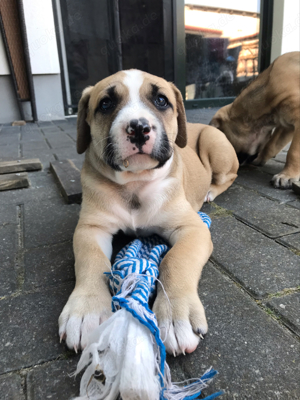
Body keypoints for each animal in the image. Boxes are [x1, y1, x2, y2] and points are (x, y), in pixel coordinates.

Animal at [58, 69, 239, 356]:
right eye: (106, 104)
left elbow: (175, 260)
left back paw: (210, 191)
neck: (135, 182)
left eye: (161, 100)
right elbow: (91, 260)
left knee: (229, 176)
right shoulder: (91, 229)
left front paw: (176, 316)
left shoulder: (192, 229)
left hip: (216, 147)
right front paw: (85, 310)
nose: (139, 128)